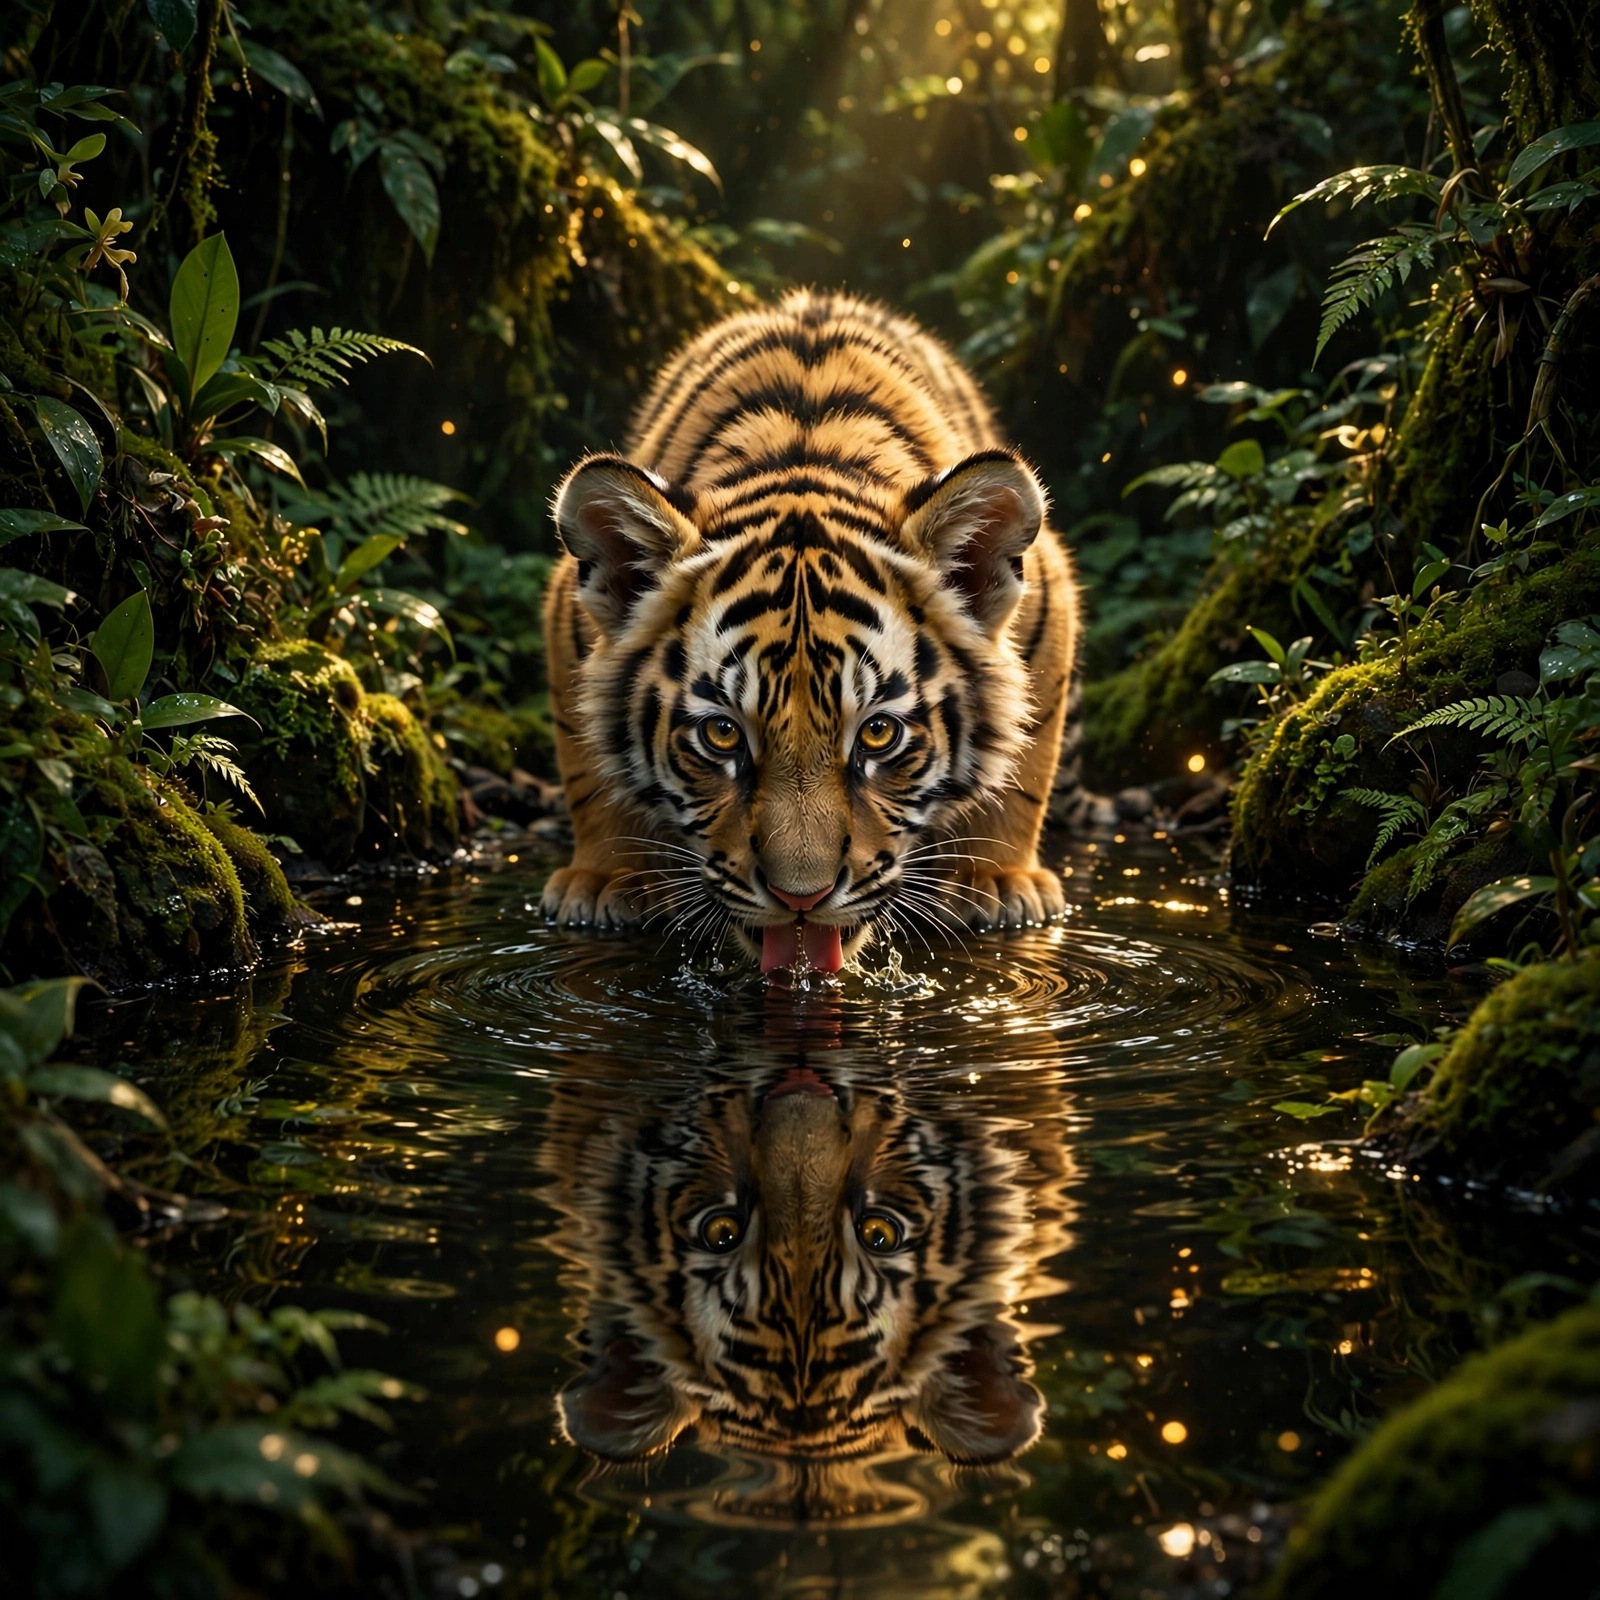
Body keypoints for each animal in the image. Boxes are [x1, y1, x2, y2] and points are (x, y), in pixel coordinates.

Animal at [541, 289, 1083, 972]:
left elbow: (1027, 769)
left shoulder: (1050, 607)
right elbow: (589, 772)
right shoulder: (568, 619)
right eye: (721, 734)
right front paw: (605, 879)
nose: (802, 898)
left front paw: (1001, 881)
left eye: (878, 733)